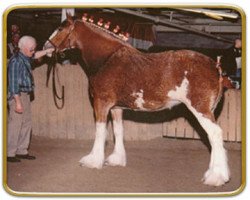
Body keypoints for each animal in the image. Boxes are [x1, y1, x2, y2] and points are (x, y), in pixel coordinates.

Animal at [44, 13, 229, 186]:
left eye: (60, 28)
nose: (46, 47)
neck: (107, 59)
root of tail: (215, 66)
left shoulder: (101, 104)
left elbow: (100, 131)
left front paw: (93, 161)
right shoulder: (116, 107)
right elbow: (118, 130)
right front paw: (117, 159)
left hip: (200, 109)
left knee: (214, 134)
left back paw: (216, 177)